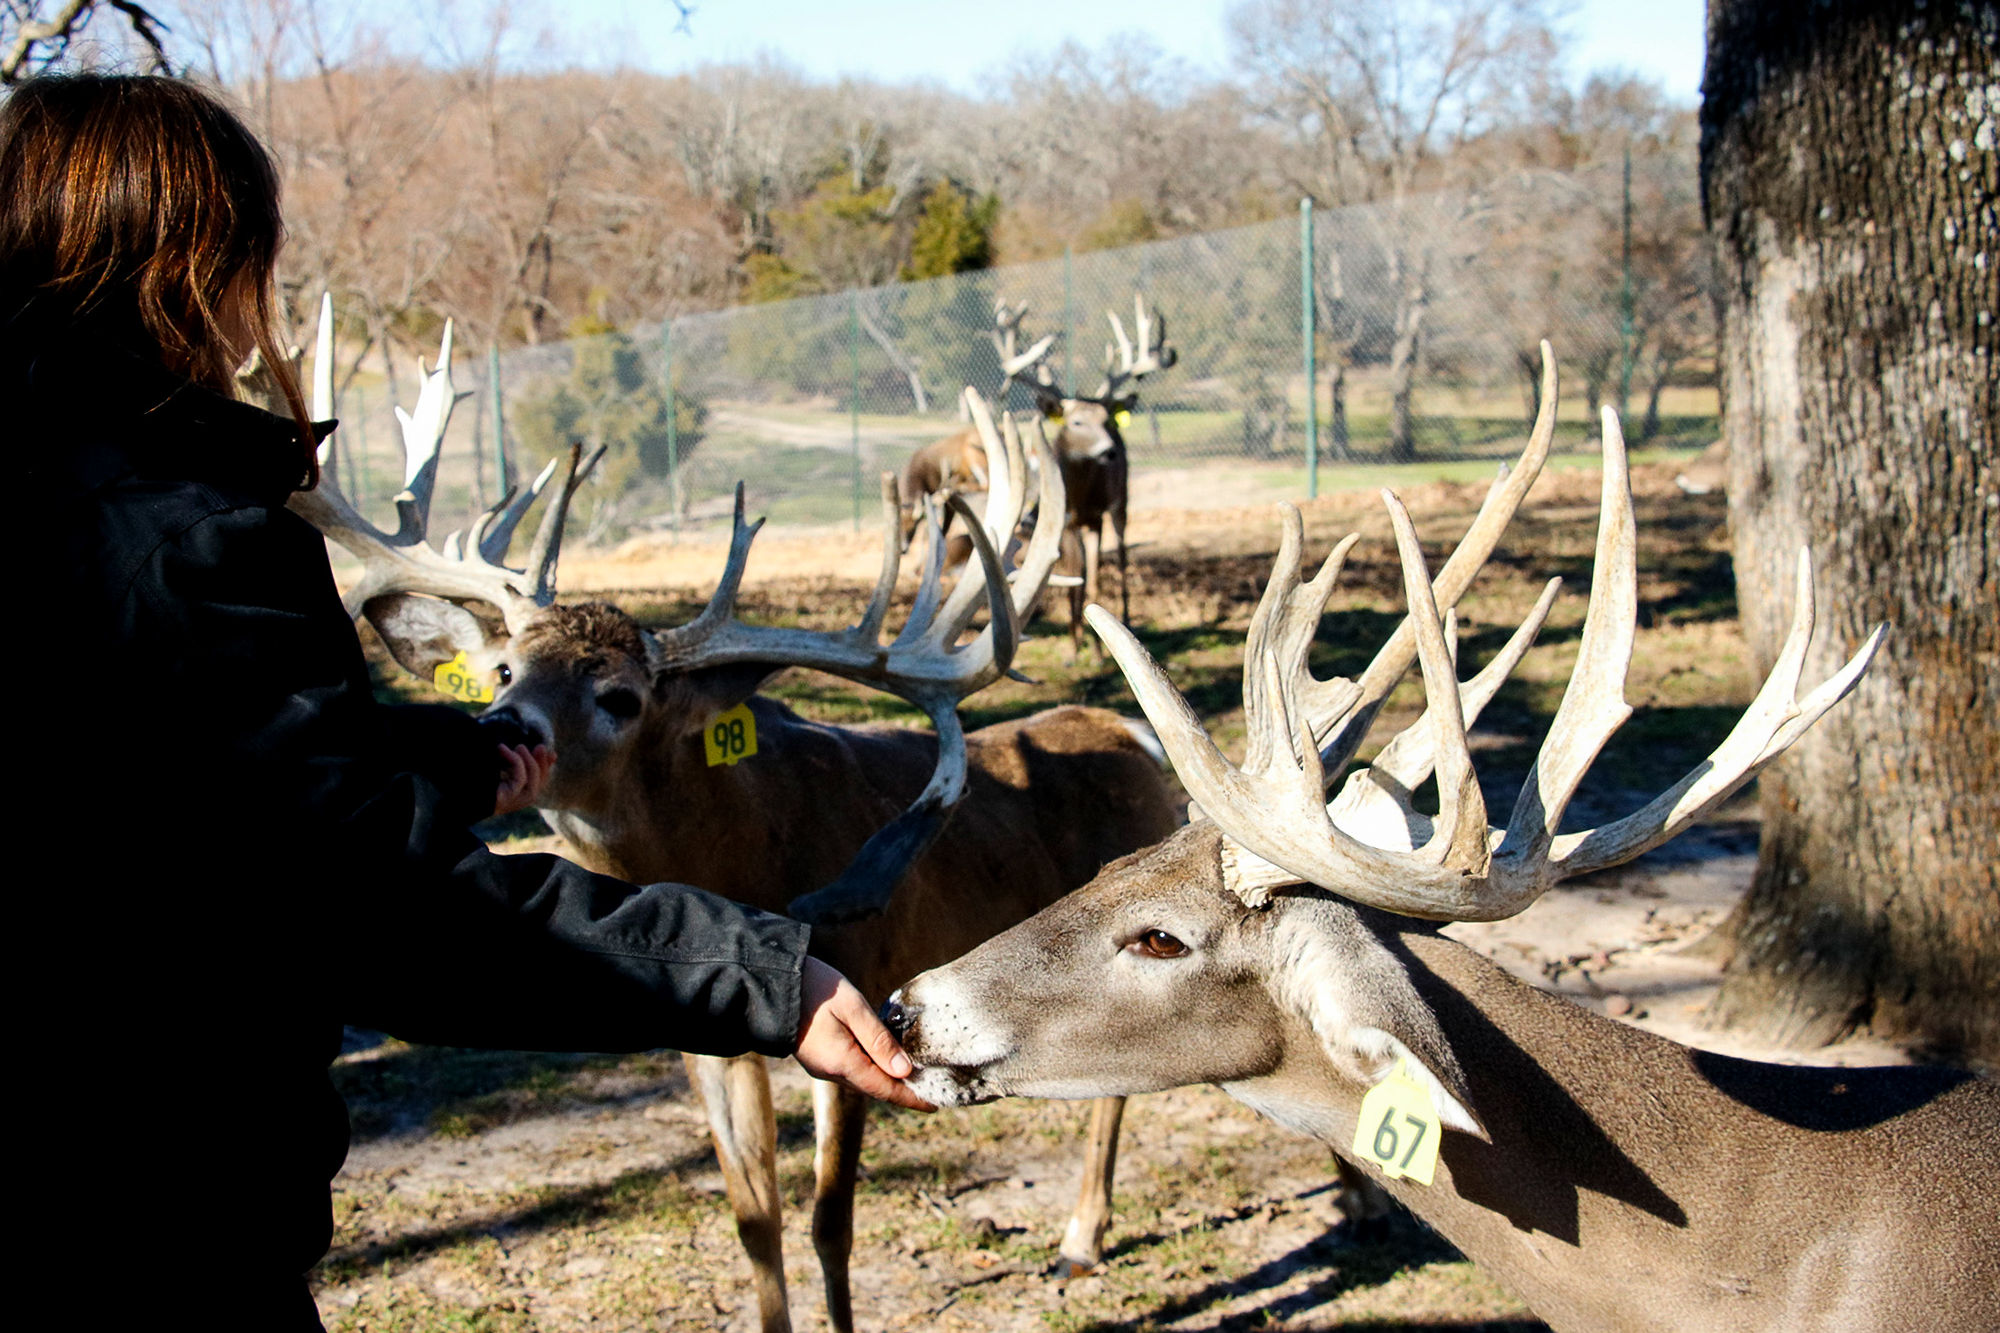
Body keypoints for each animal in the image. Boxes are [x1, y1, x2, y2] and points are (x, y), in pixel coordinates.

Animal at [292, 301, 1181, 1333]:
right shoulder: (709, 1039)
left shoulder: (861, 994)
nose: (503, 726)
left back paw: (1084, 1238)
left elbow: (829, 1222)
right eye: (506, 667)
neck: (736, 858)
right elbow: (754, 1218)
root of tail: (1132, 735)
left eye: (621, 696)